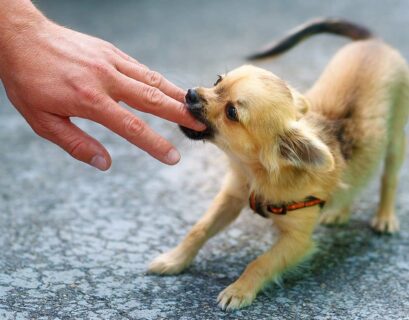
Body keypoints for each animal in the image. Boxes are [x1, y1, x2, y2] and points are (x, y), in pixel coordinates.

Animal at [147, 18, 408, 310]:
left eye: (231, 112)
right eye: (217, 81)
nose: (191, 93)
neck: (254, 172)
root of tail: (374, 42)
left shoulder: (297, 241)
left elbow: (261, 262)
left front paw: (239, 290)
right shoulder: (231, 197)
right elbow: (198, 230)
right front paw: (174, 260)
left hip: (396, 141)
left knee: (388, 179)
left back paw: (385, 217)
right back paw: (339, 211)